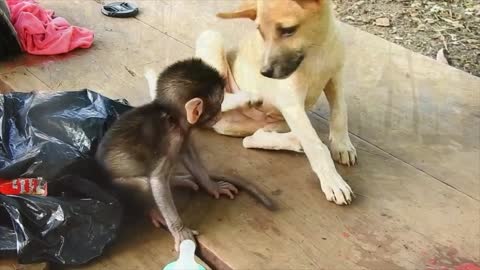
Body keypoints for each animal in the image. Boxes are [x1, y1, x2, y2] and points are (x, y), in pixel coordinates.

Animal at [96, 58, 274, 250]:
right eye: (219, 103)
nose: (220, 115)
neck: (172, 118)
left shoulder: (183, 135)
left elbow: (188, 155)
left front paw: (212, 186)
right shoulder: (173, 138)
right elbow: (157, 181)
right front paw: (180, 231)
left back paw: (178, 180)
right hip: (117, 187)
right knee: (145, 184)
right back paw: (154, 211)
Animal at [193, 0, 358, 204]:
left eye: (288, 30)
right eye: (261, 32)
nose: (265, 72)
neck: (316, 51)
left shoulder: (335, 78)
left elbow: (340, 113)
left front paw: (342, 145)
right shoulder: (292, 104)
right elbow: (316, 146)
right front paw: (333, 181)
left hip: (278, 121)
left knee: (251, 139)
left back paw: (293, 140)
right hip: (211, 36)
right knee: (216, 98)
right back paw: (249, 97)